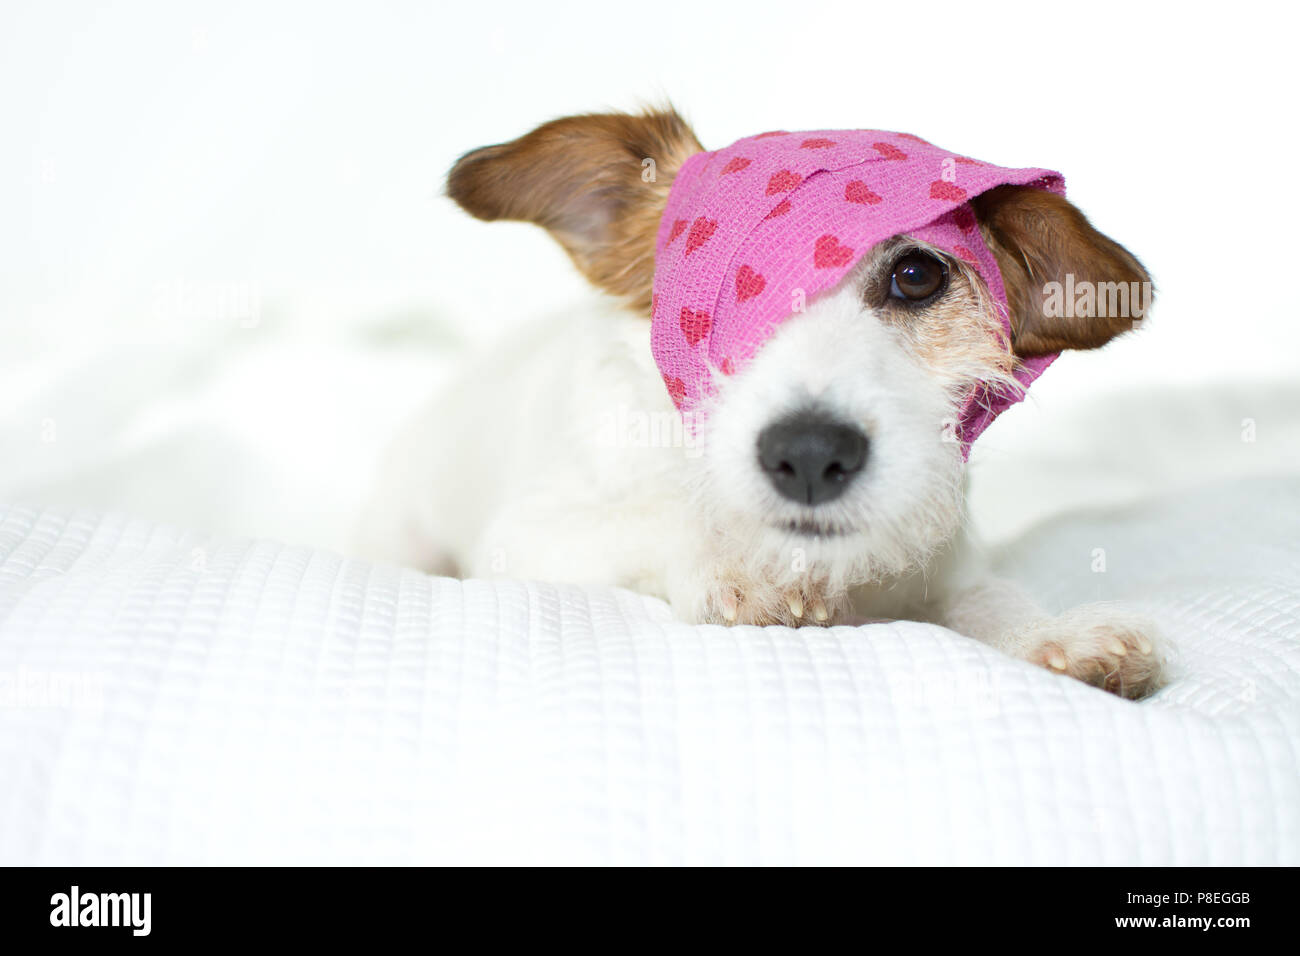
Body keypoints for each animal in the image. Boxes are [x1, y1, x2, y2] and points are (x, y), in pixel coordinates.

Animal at [358, 106, 1170, 702]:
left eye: (915, 276)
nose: (810, 454)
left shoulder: (947, 566)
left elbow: (988, 597)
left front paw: (1049, 636)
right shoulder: (530, 536)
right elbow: (660, 521)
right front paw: (739, 569)